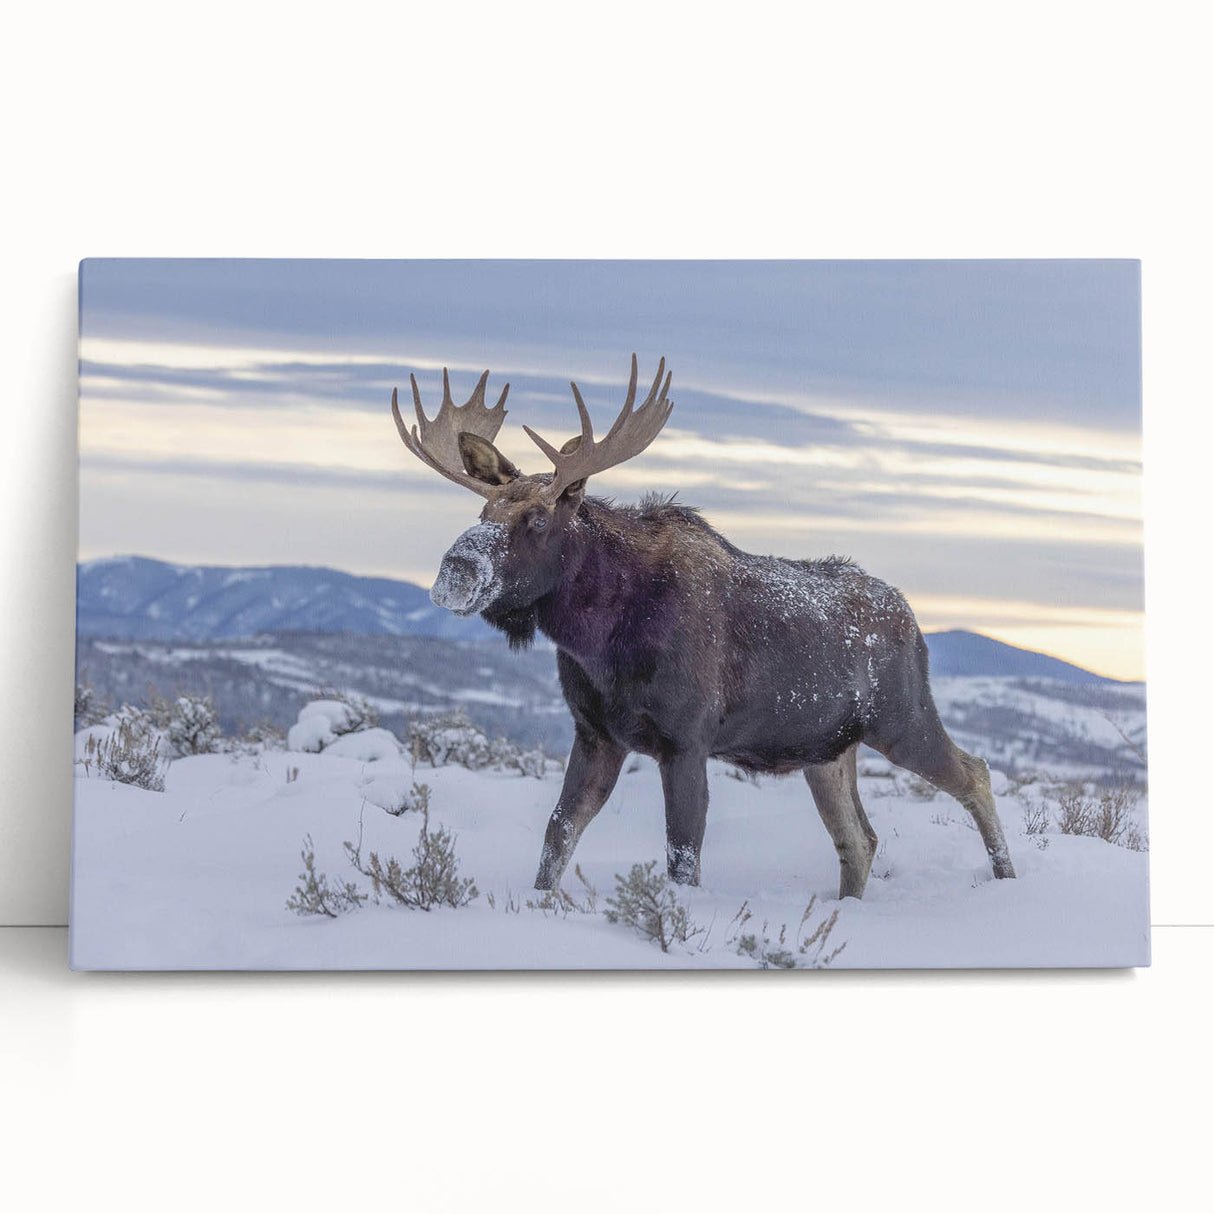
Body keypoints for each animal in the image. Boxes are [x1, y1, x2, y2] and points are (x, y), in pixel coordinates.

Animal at [391, 357, 1016, 899]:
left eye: (539, 517)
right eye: (483, 512)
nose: (455, 570)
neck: (598, 636)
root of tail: (913, 621)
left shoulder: (686, 740)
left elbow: (682, 858)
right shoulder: (596, 733)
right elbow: (557, 836)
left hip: (902, 719)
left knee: (976, 773)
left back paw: (1007, 880)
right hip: (827, 750)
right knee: (860, 839)